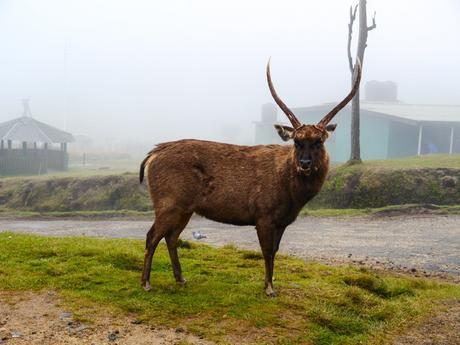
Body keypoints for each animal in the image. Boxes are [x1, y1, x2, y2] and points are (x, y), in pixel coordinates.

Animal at [138, 59, 362, 296]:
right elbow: (266, 251)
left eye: (319, 141)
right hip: (168, 202)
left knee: (171, 237)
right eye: (296, 141)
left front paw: (269, 283)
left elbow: (275, 251)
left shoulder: (282, 221)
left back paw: (181, 278)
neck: (292, 197)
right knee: (152, 236)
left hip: (185, 208)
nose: (304, 164)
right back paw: (146, 283)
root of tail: (152, 155)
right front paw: (269, 288)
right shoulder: (263, 214)